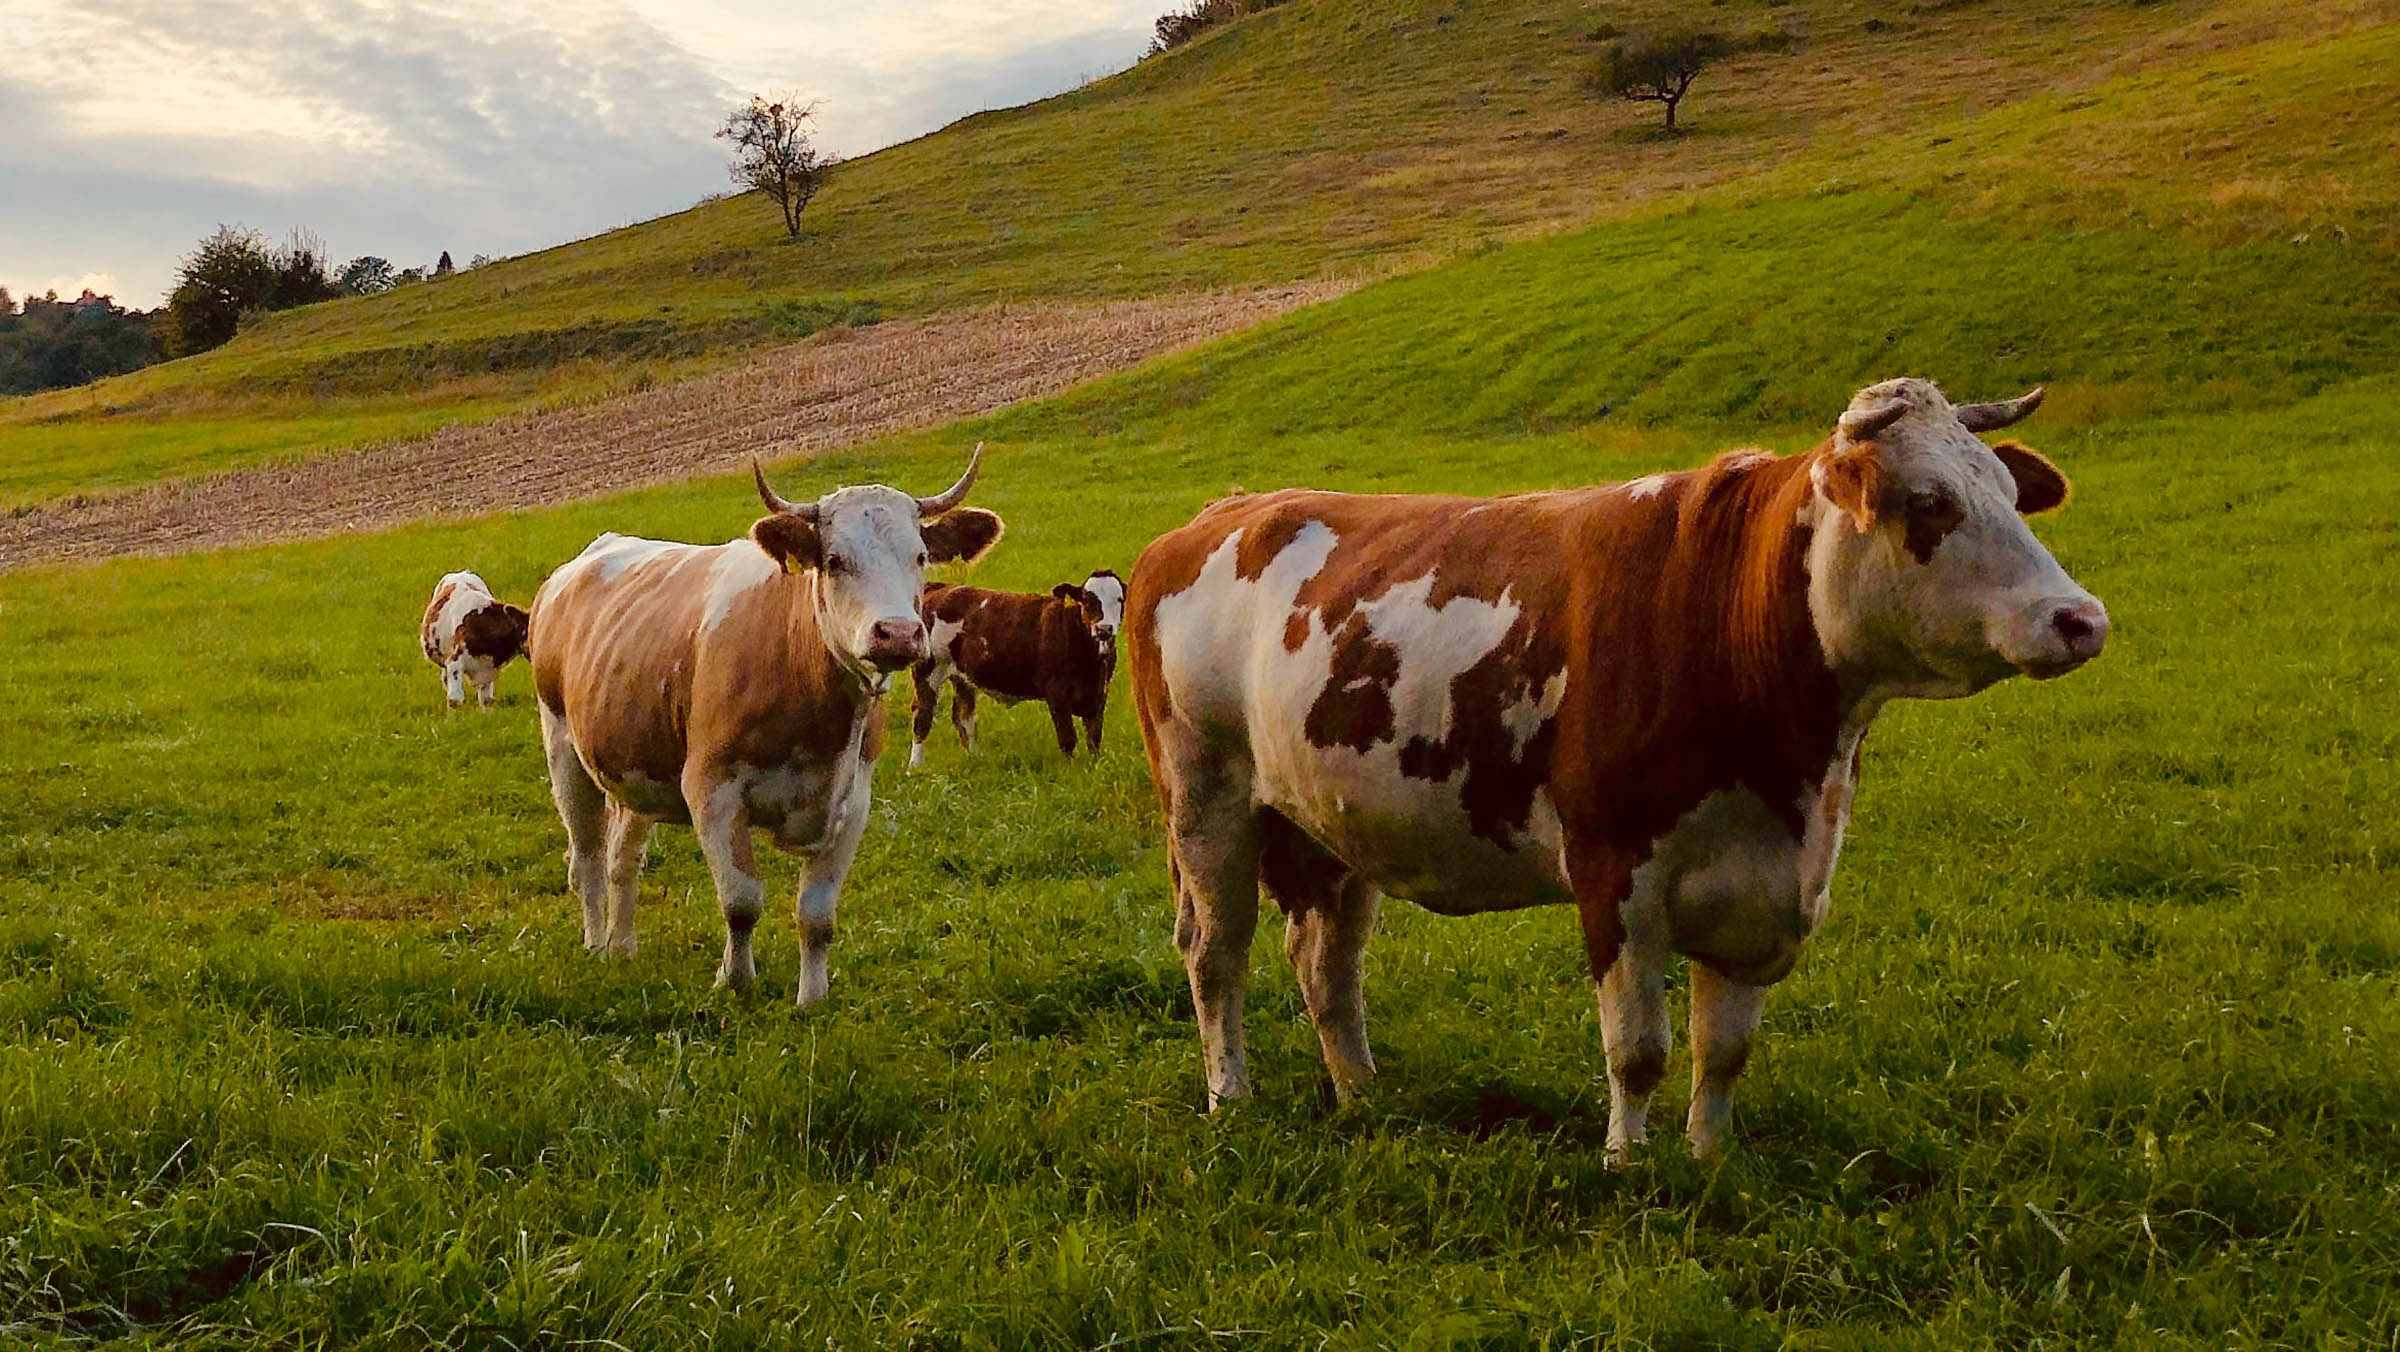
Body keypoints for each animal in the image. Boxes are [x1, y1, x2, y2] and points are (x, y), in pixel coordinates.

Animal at [532, 446, 1003, 1003]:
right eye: (834, 560)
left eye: (921, 557)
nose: (898, 633)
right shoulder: (711, 789)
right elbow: (741, 901)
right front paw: (735, 981)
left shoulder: (853, 802)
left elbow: (817, 916)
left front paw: (812, 1000)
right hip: (563, 746)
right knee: (586, 857)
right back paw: (595, 944)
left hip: (632, 764)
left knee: (622, 857)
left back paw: (622, 947)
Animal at [912, 566, 1128, 768]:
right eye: (1087, 599)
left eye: (1120, 599)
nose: (1104, 629)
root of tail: (940, 587)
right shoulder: (1056, 692)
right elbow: (1068, 739)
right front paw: (1070, 769)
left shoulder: (1099, 693)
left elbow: (1094, 739)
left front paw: (1095, 767)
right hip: (927, 669)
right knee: (922, 715)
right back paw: (915, 767)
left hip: (962, 677)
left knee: (964, 716)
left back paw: (977, 758)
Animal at [1123, 374, 2102, 1157]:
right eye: (1930, 501)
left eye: (2010, 491)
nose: (2081, 618)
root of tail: (1220, 514)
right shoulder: (1615, 871)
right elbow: (1637, 1050)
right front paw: (1627, 1165)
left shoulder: (1768, 890)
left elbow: (1723, 1050)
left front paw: (1710, 1161)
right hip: (1206, 798)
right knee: (1216, 952)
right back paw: (1231, 1097)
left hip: (1329, 817)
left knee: (1325, 961)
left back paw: (1363, 1096)